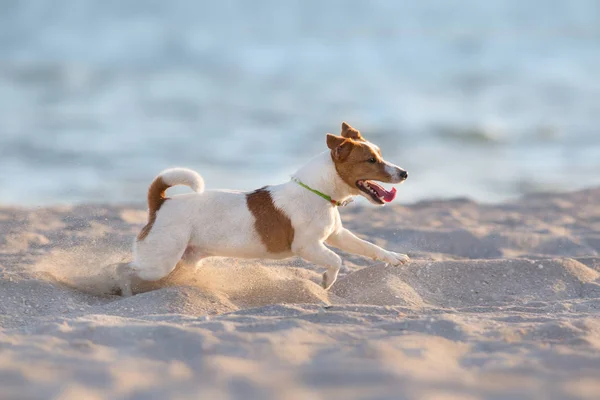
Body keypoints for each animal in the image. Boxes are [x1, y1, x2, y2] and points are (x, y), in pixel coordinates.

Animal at [122, 122, 412, 296]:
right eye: (371, 160)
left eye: (380, 154)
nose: (405, 173)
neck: (317, 192)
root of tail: (160, 203)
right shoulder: (307, 246)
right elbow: (336, 260)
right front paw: (326, 281)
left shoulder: (337, 235)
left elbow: (368, 247)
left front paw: (394, 257)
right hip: (160, 262)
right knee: (126, 269)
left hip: (186, 260)